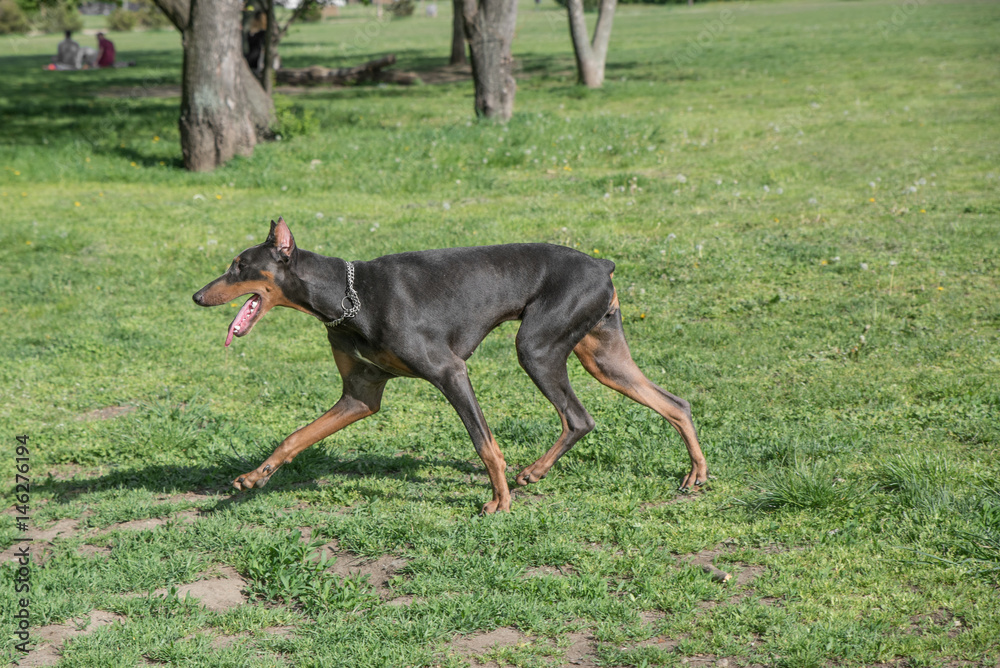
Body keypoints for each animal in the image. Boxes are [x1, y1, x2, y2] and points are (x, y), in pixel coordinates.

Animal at [193, 219, 712, 512]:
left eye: (239, 265)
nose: (197, 296)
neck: (347, 296)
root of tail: (602, 264)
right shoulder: (359, 395)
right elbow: (297, 436)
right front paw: (254, 478)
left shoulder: (450, 373)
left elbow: (486, 446)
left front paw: (500, 502)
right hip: (602, 355)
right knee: (674, 403)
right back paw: (695, 475)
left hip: (537, 348)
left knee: (579, 417)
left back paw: (531, 476)